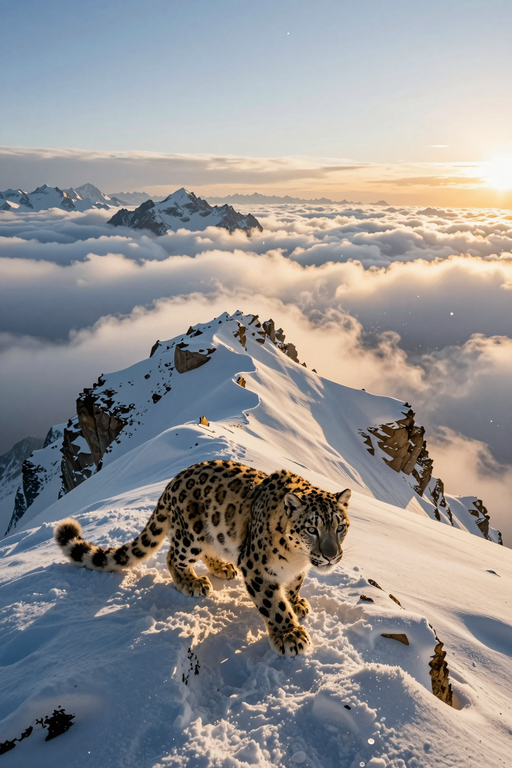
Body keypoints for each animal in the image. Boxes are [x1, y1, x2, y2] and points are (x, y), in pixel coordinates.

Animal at [54, 460, 351, 656]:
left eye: (340, 527)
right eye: (312, 529)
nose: (331, 556)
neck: (297, 557)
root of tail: (172, 482)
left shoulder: (298, 569)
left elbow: (294, 585)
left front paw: (296, 602)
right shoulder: (255, 567)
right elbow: (273, 605)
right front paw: (290, 635)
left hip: (214, 534)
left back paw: (223, 568)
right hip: (191, 535)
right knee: (173, 555)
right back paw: (192, 583)